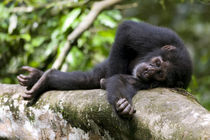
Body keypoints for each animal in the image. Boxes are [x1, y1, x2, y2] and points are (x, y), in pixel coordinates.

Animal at [17, 20, 193, 118]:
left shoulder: (148, 83)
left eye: (159, 74)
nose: (149, 70)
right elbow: (127, 30)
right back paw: (38, 77)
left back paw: (44, 79)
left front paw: (123, 104)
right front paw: (110, 83)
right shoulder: (160, 37)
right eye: (157, 63)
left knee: (86, 80)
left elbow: (123, 81)